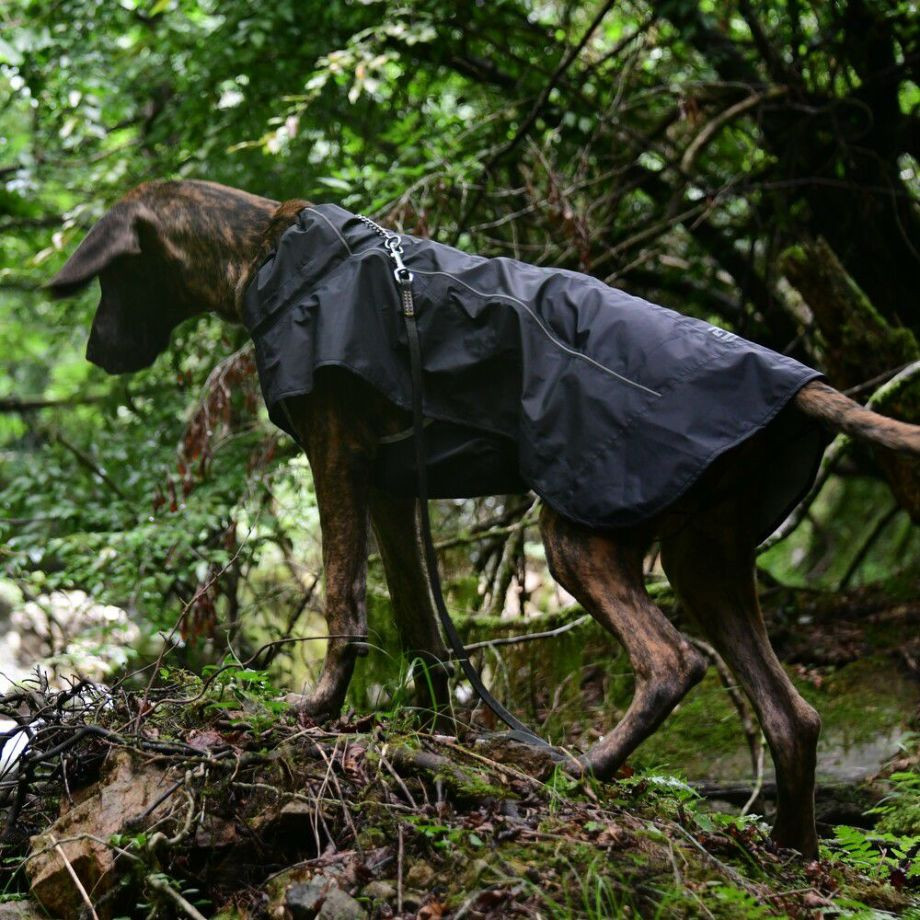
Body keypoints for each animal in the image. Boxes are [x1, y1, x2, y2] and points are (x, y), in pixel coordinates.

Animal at [50, 180, 920, 856]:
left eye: (111, 283)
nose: (91, 354)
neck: (269, 252)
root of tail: (801, 385)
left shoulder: (336, 454)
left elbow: (343, 602)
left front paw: (316, 710)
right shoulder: (392, 486)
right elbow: (420, 627)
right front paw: (427, 729)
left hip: (578, 535)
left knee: (674, 662)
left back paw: (580, 769)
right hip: (702, 559)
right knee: (793, 715)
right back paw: (794, 853)